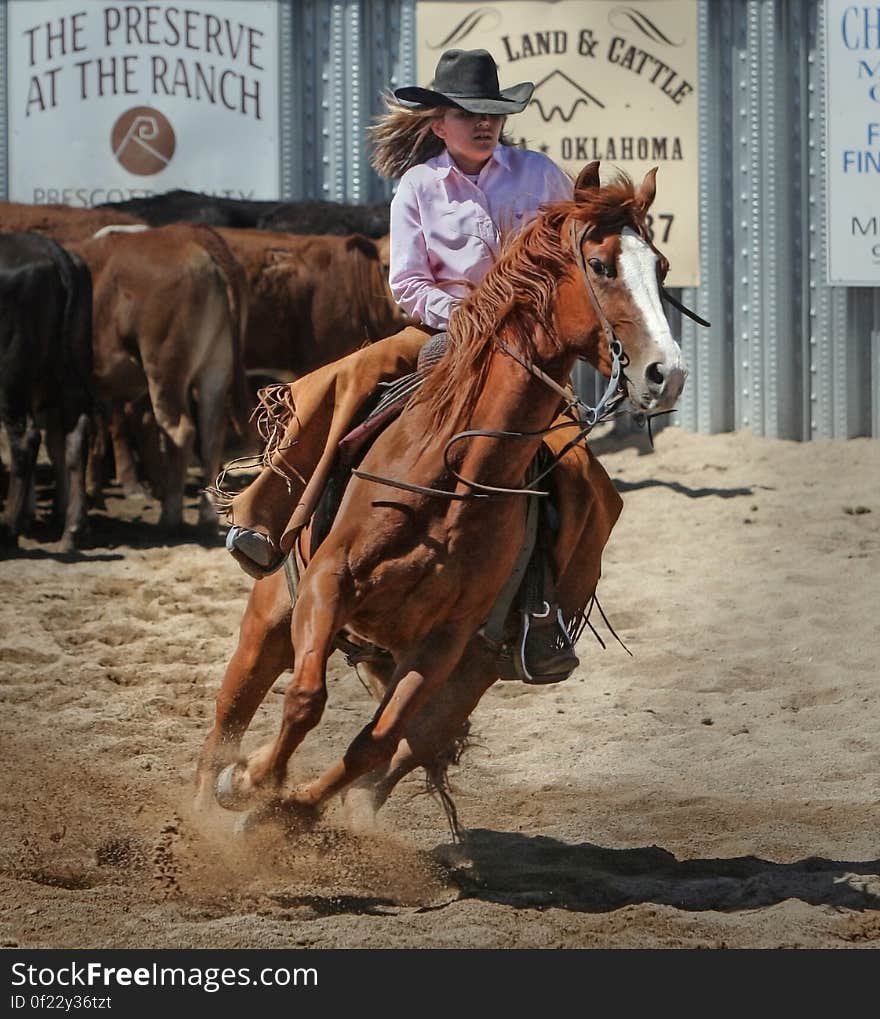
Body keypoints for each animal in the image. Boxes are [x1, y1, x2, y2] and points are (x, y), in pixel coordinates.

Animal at [0, 233, 94, 550]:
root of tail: (51, 249)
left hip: (11, 381)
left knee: (23, 444)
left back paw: (10, 527)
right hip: (70, 376)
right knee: (76, 437)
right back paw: (71, 530)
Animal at [67, 223, 247, 529]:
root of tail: (192, 235)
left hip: (164, 366)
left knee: (180, 430)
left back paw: (170, 514)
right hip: (216, 367)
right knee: (212, 434)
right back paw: (207, 512)